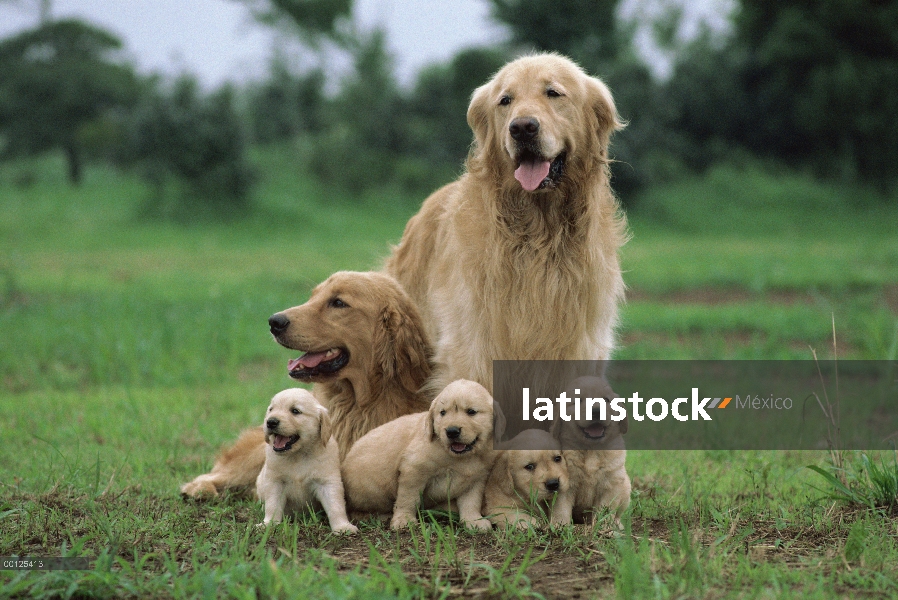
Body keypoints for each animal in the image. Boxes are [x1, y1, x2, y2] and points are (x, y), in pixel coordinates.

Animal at [254, 390, 356, 536]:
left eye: (295, 411)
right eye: (271, 409)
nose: (270, 422)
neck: (298, 454)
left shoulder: (327, 481)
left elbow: (335, 505)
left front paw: (343, 526)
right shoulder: (275, 481)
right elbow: (272, 505)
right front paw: (269, 524)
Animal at [344, 380, 496, 528]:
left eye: (471, 412)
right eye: (443, 413)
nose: (452, 431)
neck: (461, 457)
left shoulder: (476, 479)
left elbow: (471, 502)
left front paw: (474, 521)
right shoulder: (414, 470)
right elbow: (408, 498)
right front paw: (403, 519)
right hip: (373, 489)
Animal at [384, 54, 624, 394]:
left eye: (553, 93)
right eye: (505, 100)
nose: (522, 128)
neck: (538, 232)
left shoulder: (578, 347)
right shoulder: (473, 346)